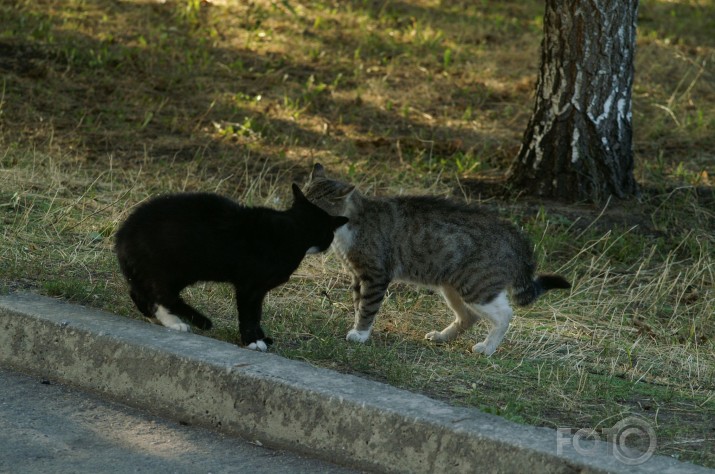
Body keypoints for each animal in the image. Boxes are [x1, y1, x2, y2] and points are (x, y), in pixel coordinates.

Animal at [115, 183, 350, 350]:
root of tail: (124, 233)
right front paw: (253, 340)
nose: (331, 243)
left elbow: (256, 314)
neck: (295, 228)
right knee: (162, 295)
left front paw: (261, 336)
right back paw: (187, 321)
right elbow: (249, 314)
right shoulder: (250, 287)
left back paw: (158, 317)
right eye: (330, 235)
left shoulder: (257, 290)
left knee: (142, 293)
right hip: (175, 268)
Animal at [302, 165, 572, 354]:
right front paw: (358, 327)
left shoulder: (375, 275)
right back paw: (442, 337)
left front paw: (360, 334)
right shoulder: (358, 275)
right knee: (468, 317)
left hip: (476, 286)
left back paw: (487, 348)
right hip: (452, 287)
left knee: (505, 314)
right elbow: (359, 304)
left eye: (315, 206)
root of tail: (514, 235)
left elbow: (367, 307)